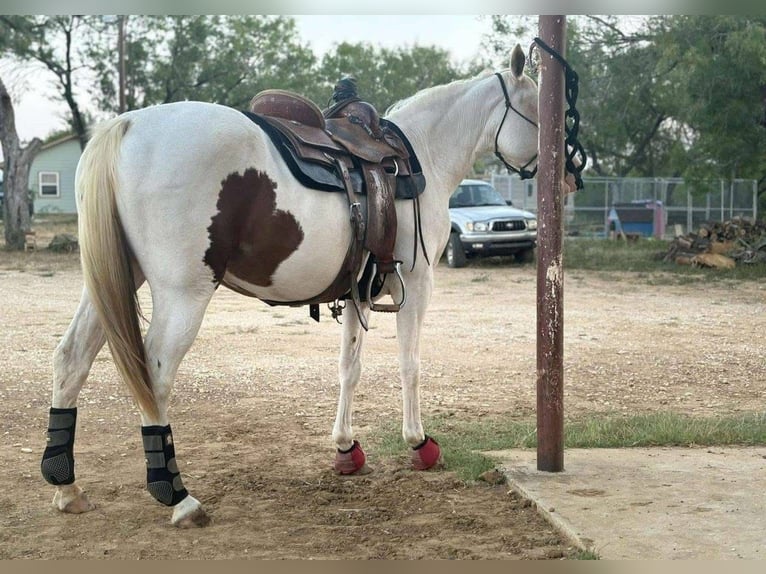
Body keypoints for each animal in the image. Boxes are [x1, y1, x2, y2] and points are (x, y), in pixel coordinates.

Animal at [40, 47, 540, 528]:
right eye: (537, 110)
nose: (554, 166)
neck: (423, 155)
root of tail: (128, 124)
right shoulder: (415, 286)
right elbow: (409, 365)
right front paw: (419, 444)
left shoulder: (357, 292)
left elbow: (349, 368)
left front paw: (346, 449)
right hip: (183, 295)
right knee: (155, 376)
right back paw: (177, 496)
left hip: (112, 281)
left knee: (71, 358)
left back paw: (66, 487)